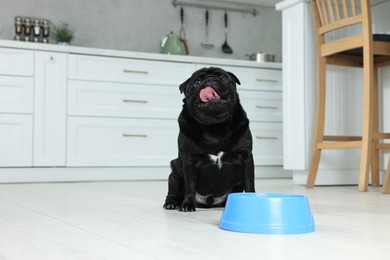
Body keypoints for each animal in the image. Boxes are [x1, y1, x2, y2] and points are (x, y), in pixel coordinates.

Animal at [162, 66, 256, 211]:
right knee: (173, 191)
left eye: (223, 78)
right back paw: (172, 203)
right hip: (174, 175)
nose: (210, 79)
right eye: (197, 82)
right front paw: (187, 204)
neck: (214, 126)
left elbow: (249, 182)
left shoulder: (245, 157)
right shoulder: (189, 160)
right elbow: (190, 185)